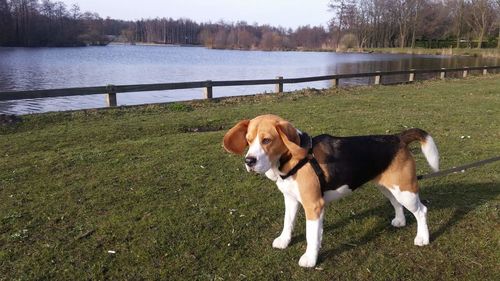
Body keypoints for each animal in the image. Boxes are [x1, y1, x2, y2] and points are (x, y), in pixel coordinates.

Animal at [223, 114, 438, 266]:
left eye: (267, 140)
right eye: (248, 140)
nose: (249, 161)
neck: (294, 159)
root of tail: (398, 138)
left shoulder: (313, 205)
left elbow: (310, 234)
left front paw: (310, 259)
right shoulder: (291, 199)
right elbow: (288, 223)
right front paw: (284, 241)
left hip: (405, 190)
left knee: (422, 211)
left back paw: (422, 238)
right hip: (389, 187)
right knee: (396, 204)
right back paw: (400, 221)